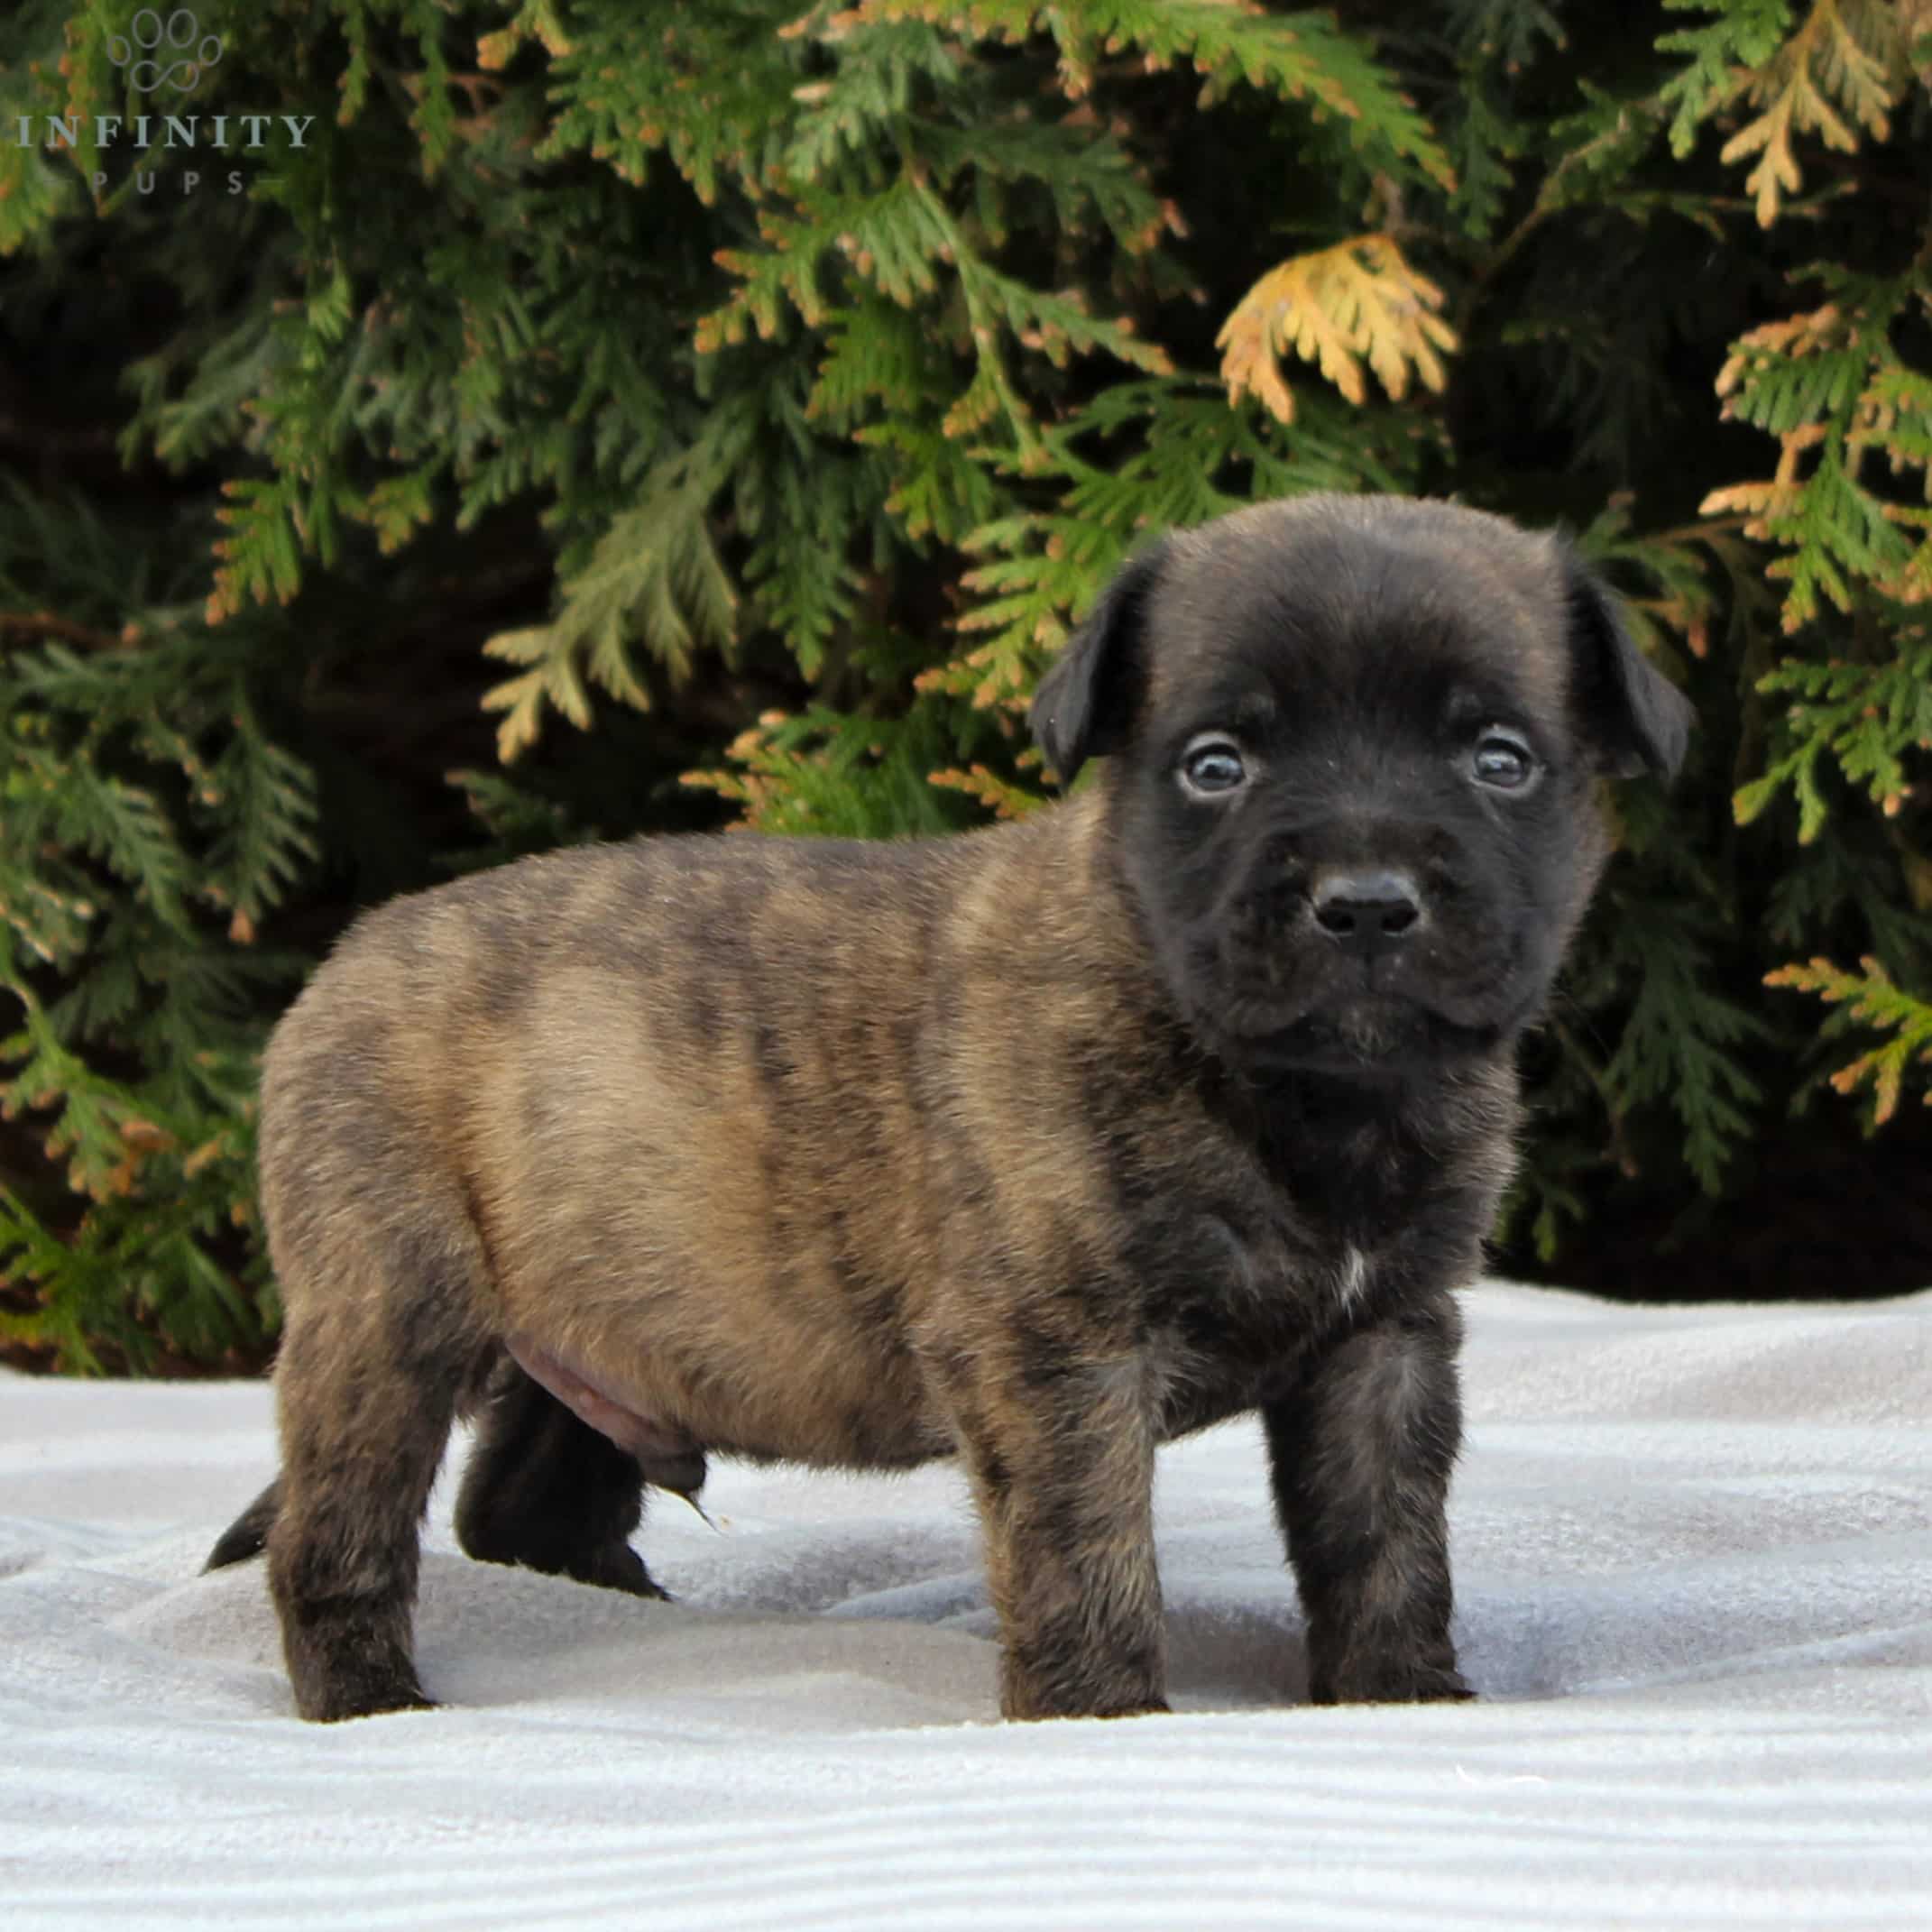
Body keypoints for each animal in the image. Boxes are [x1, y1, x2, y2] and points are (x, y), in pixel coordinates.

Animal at [207, 494, 1692, 1723]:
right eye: (1215, 765)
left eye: (1498, 760)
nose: (1367, 902)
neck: (1303, 1092)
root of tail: (344, 960)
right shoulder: (1058, 1353)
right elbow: (1089, 1550)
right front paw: (1102, 1715)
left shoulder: (1381, 1343)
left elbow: (1385, 1539)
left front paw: (1403, 1694)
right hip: (389, 1312)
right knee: (339, 1533)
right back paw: (373, 1701)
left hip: (585, 1325)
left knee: (520, 1501)